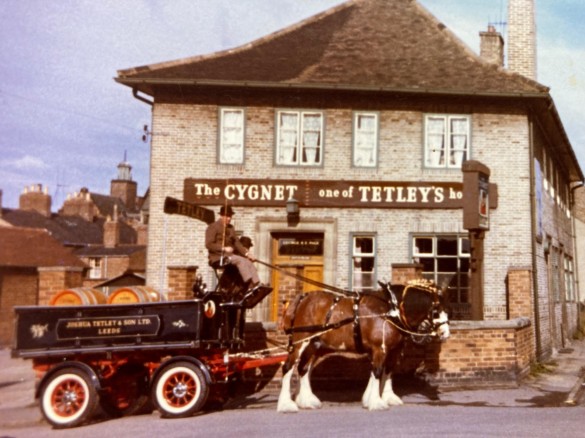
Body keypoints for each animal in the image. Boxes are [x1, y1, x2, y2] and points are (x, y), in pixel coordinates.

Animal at [276, 278, 450, 412]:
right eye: (436, 311)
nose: (445, 333)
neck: (390, 310)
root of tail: (302, 299)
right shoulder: (380, 349)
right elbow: (377, 372)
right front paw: (377, 402)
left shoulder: (392, 351)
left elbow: (386, 371)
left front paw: (384, 398)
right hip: (300, 343)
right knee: (288, 368)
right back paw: (287, 405)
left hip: (314, 346)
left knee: (303, 369)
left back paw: (307, 401)